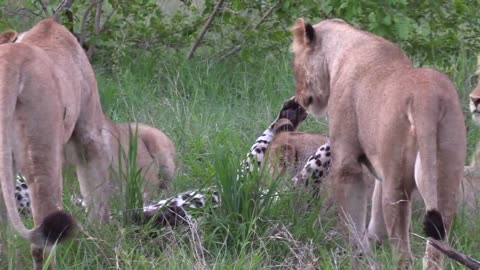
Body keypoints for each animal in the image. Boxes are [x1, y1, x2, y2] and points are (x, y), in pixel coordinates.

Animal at [0, 19, 174, 270]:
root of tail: (10, 63)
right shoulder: (89, 135)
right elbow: (96, 194)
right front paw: (101, 237)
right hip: (44, 158)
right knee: (44, 241)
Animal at [290, 17, 466, 268]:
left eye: (295, 62)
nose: (299, 99)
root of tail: (427, 97)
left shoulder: (347, 163)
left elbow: (352, 221)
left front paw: (357, 257)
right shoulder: (381, 170)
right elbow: (374, 221)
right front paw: (370, 247)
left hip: (398, 189)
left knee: (403, 254)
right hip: (444, 181)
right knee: (436, 250)